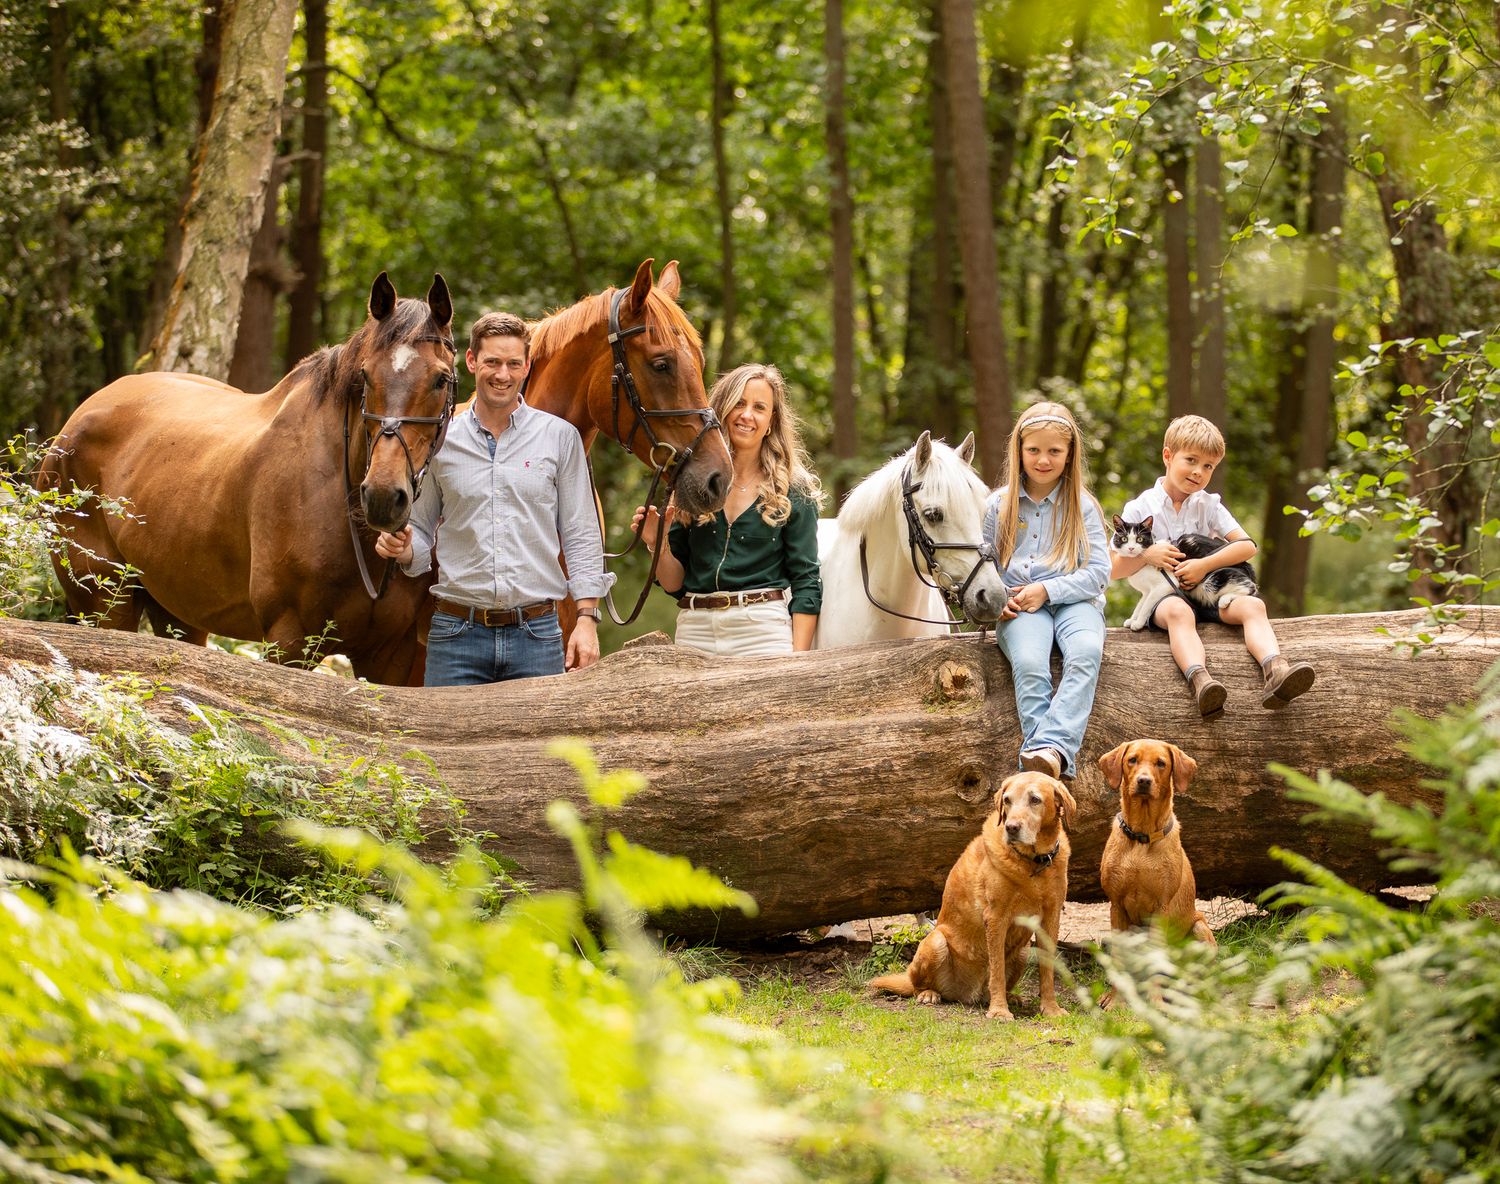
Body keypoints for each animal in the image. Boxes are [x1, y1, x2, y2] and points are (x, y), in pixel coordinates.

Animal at [39, 259, 729, 683]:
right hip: (101, 606)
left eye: (444, 380)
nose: (716, 478)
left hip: (177, 614)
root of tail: (77, 421)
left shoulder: (398, 656)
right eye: (661, 362)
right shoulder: (294, 644)